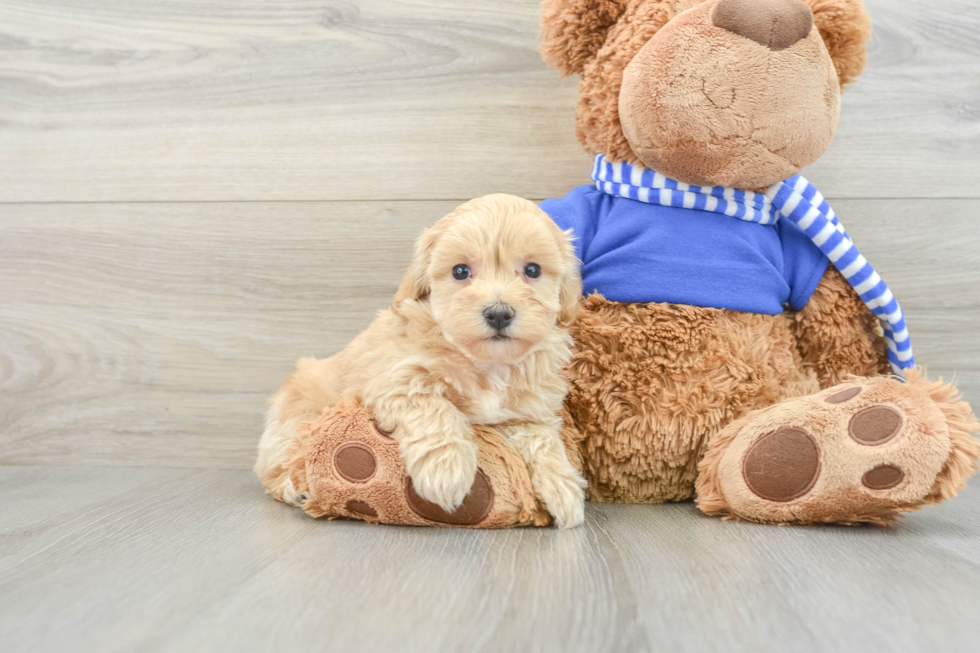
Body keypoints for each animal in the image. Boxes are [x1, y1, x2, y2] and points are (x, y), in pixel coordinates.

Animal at [256, 192, 584, 524]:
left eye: (533, 270)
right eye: (460, 271)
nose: (499, 313)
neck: (489, 364)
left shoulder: (527, 411)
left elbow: (542, 437)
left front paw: (563, 487)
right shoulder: (396, 378)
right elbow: (435, 409)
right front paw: (447, 470)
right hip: (296, 419)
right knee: (276, 463)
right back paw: (295, 489)